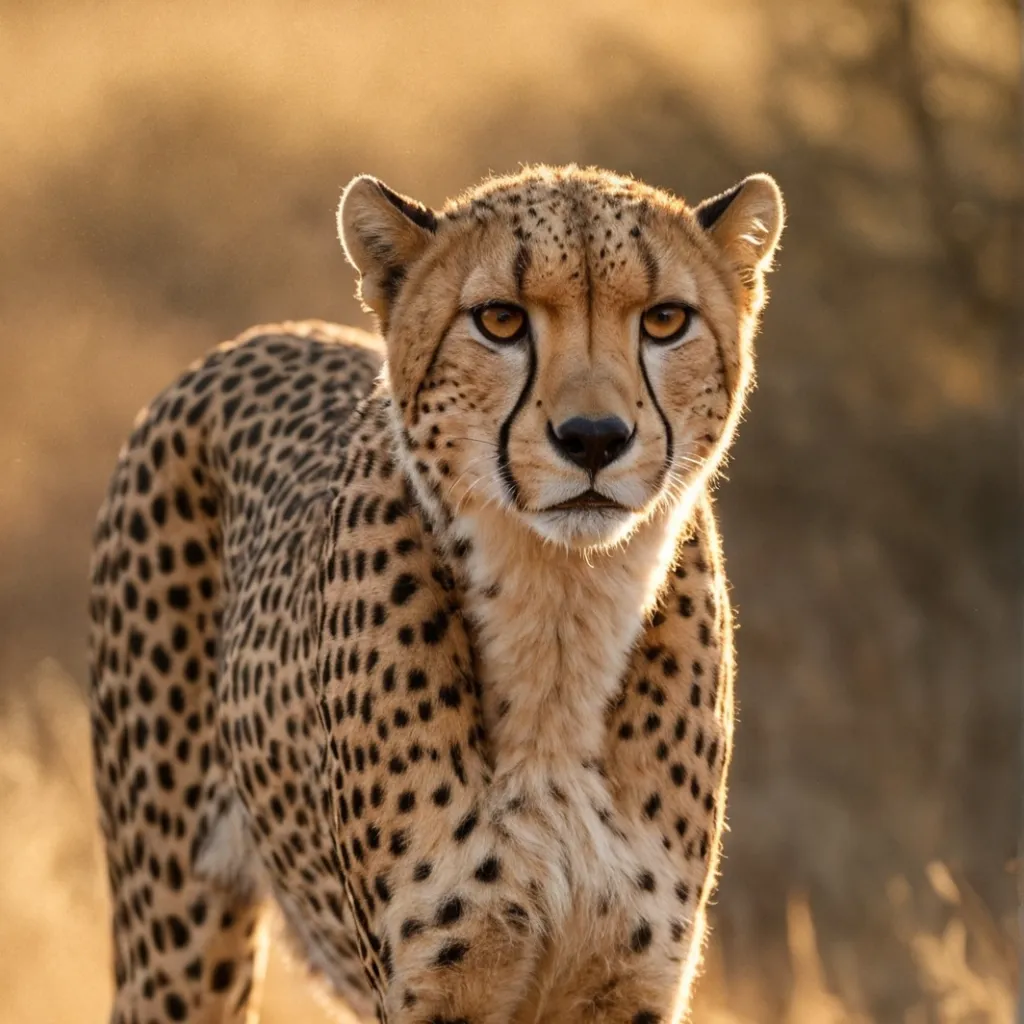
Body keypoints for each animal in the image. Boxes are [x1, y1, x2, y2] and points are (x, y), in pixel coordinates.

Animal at [88, 163, 784, 1024]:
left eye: (663, 321)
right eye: (500, 320)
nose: (593, 438)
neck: (561, 615)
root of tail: (252, 340)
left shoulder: (628, 987)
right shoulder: (431, 988)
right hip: (174, 938)